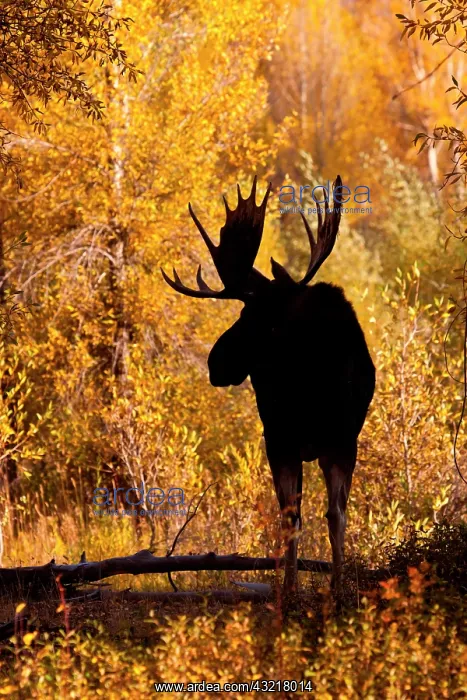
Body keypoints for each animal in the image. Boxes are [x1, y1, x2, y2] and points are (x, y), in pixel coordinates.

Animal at [161, 176, 376, 597]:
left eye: (248, 314)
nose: (215, 363)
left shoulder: (282, 439)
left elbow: (297, 517)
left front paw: (291, 590)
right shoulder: (326, 441)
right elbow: (317, 515)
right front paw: (321, 586)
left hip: (302, 439)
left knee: (315, 513)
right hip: (332, 441)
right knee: (329, 513)